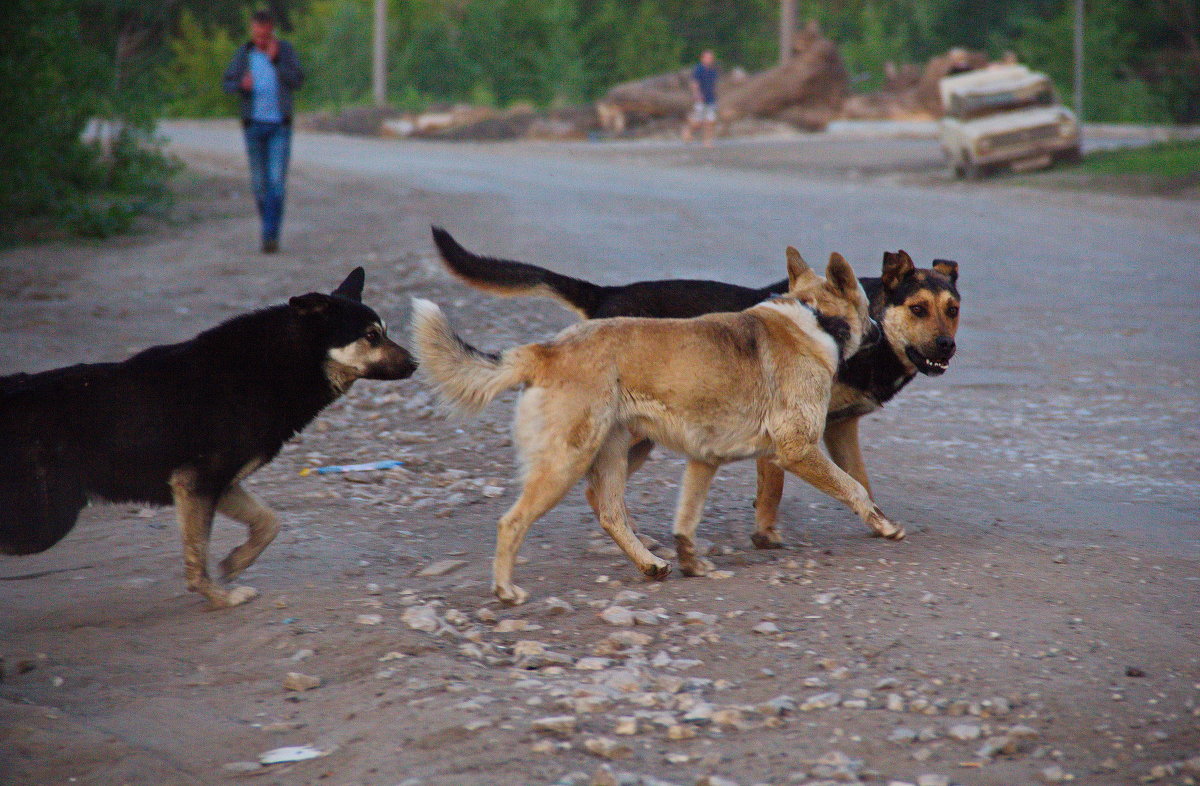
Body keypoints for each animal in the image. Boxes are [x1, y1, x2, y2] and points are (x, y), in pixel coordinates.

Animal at [0, 268, 415, 609]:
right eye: (371, 336)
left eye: (384, 332)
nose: (415, 364)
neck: (275, 364)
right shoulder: (197, 483)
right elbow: (197, 557)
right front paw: (220, 597)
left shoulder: (217, 484)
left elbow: (269, 522)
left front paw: (235, 562)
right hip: (46, 520)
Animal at [412, 249, 902, 604]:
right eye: (867, 304)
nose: (880, 330)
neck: (814, 318)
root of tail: (545, 350)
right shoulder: (796, 449)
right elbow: (855, 487)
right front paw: (883, 524)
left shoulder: (705, 460)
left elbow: (687, 520)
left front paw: (691, 562)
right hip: (567, 461)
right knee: (513, 522)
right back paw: (505, 590)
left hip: (611, 454)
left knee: (609, 509)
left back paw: (649, 563)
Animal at [436, 224, 960, 549]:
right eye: (917, 309)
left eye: (952, 309)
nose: (947, 347)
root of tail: (606, 293)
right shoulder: (790, 435)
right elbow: (780, 485)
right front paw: (767, 534)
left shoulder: (839, 427)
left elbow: (859, 480)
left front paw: (877, 520)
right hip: (626, 435)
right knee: (595, 493)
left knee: (599, 494)